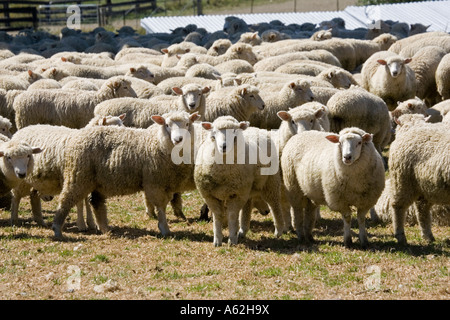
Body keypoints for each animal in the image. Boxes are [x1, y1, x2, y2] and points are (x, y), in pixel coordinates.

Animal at [48, 111, 200, 239]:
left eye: (187, 124)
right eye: (167, 125)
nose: (178, 139)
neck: (158, 142)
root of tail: (78, 135)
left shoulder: (166, 183)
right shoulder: (154, 183)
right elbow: (160, 207)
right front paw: (164, 229)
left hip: (97, 180)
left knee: (96, 202)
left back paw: (105, 229)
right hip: (78, 176)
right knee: (66, 200)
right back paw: (57, 229)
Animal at [193, 116, 284, 246]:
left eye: (234, 132)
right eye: (213, 132)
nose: (223, 146)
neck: (223, 170)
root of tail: (254, 128)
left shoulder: (236, 194)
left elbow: (232, 216)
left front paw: (232, 239)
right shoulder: (210, 196)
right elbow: (217, 215)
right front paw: (217, 240)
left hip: (270, 181)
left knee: (274, 204)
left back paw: (279, 231)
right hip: (247, 188)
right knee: (247, 206)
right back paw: (242, 230)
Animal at [386, 114, 450, 244]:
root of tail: (413, 128)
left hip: (425, 186)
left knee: (422, 209)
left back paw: (427, 236)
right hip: (403, 180)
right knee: (398, 206)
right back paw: (400, 236)